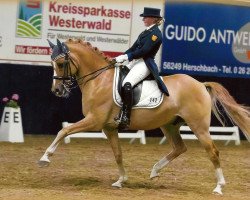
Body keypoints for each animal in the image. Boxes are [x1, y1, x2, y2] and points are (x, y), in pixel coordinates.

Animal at [37, 38, 250, 195]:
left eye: (61, 63)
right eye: (52, 63)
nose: (57, 90)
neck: (99, 80)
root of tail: (200, 84)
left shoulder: (94, 121)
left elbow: (64, 130)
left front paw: (45, 158)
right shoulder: (108, 127)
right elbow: (118, 154)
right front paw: (121, 180)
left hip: (199, 126)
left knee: (212, 152)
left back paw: (219, 187)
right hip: (169, 125)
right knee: (179, 147)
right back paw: (155, 171)